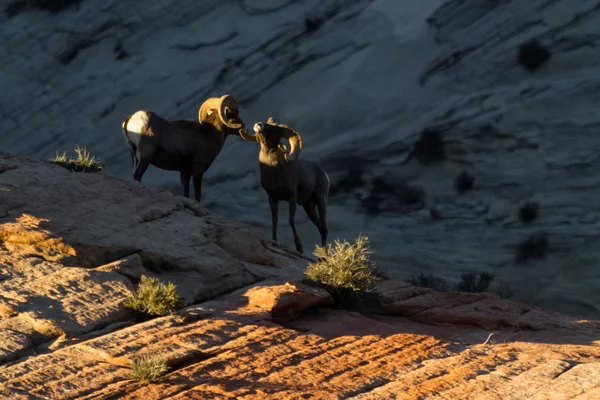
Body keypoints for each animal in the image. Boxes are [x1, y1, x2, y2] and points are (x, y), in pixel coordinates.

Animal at [238, 117, 328, 253]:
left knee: (324, 228)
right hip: (308, 207)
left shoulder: (292, 198)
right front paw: (274, 240)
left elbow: (291, 220)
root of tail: (322, 171)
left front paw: (299, 248)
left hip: (320, 200)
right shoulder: (272, 198)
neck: (275, 170)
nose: (258, 125)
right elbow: (274, 220)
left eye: (273, 128)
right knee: (320, 228)